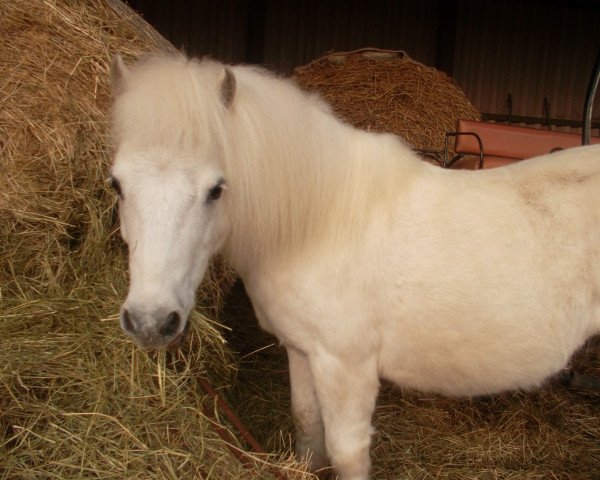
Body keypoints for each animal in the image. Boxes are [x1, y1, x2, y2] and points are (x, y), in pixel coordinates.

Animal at [110, 53, 600, 480]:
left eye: (216, 189)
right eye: (117, 184)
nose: (151, 321)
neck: (318, 224)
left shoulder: (345, 366)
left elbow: (346, 451)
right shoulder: (302, 350)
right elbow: (307, 422)